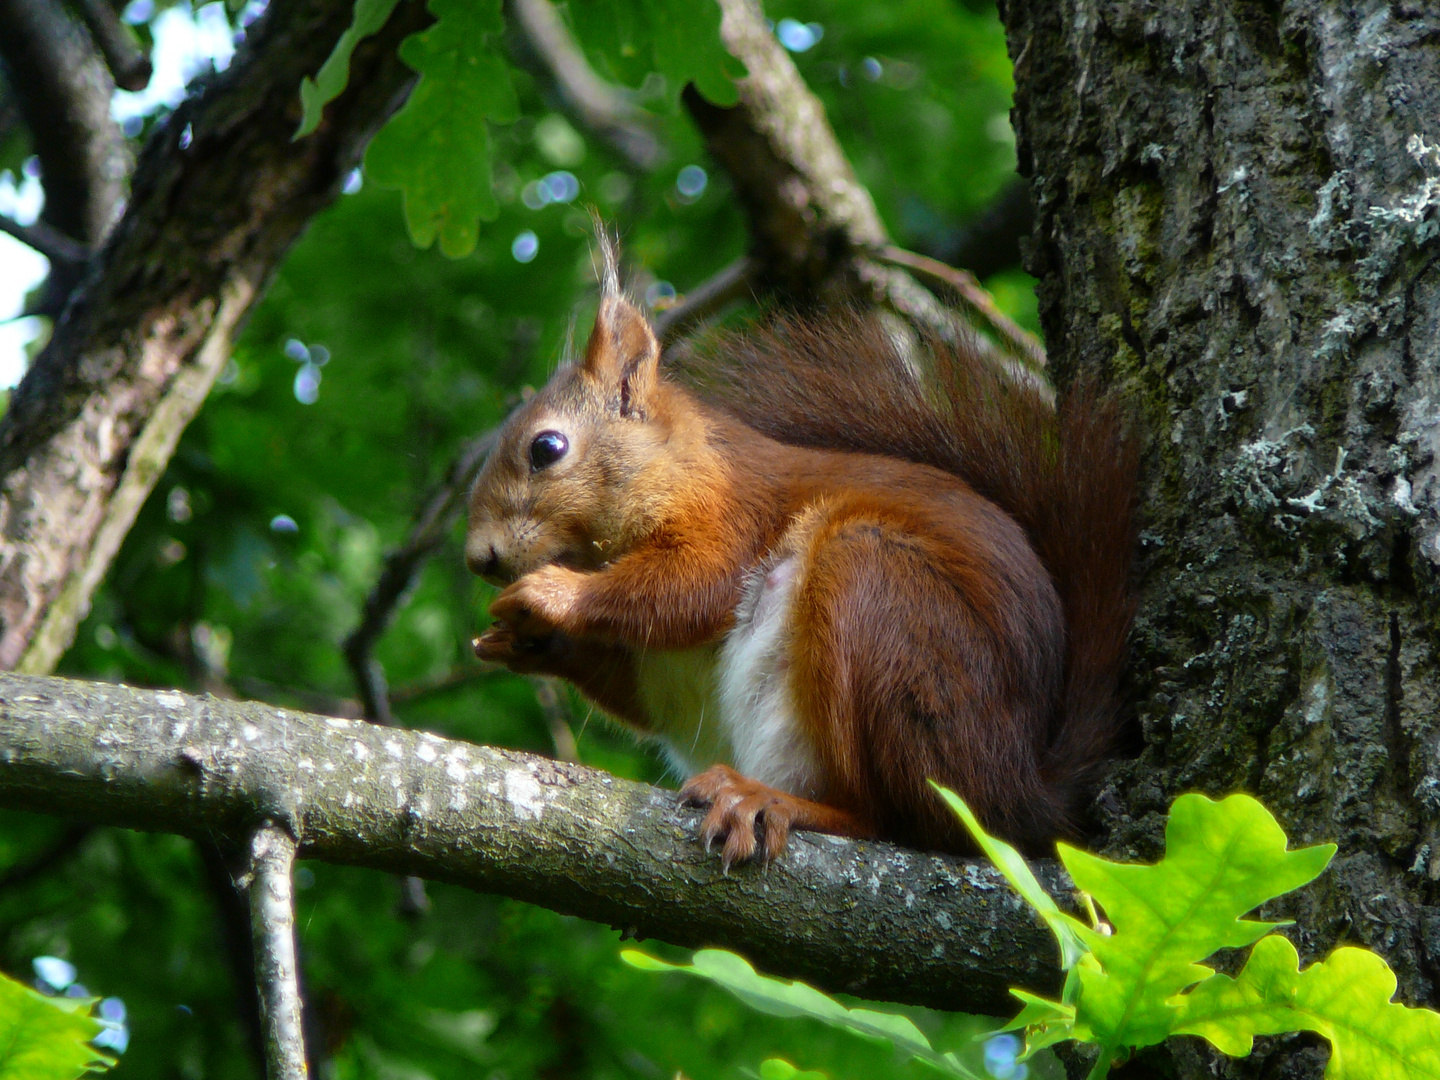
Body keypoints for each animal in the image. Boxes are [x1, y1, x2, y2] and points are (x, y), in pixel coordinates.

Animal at [463, 240, 1134, 869]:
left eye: (546, 448)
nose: (478, 558)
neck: (677, 464)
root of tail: (1022, 790)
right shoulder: (661, 674)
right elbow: (632, 686)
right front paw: (525, 641)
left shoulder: (733, 513)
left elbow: (693, 587)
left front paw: (552, 593)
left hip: (882, 602)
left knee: (893, 819)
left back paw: (774, 802)